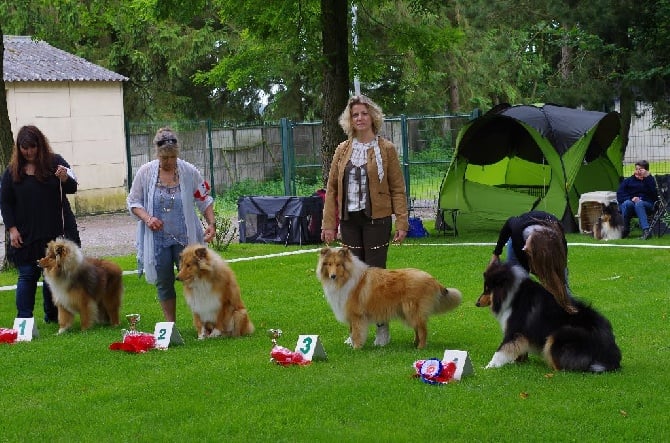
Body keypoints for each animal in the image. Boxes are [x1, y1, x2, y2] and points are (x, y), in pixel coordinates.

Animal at [316, 248, 462, 348]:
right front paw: (352, 344)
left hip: (412, 310)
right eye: (328, 264)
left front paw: (356, 348)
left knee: (423, 330)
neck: (346, 278)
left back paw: (420, 347)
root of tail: (432, 279)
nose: (332, 276)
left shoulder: (357, 315)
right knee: (418, 328)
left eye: (338, 264)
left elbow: (356, 333)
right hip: (408, 311)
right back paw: (415, 344)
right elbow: (352, 332)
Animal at [478, 262, 624, 372]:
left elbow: (501, 350)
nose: (476, 303)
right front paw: (516, 362)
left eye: (487, 289)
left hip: (559, 335)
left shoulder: (514, 330)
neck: (512, 294)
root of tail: (611, 356)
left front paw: (488, 366)